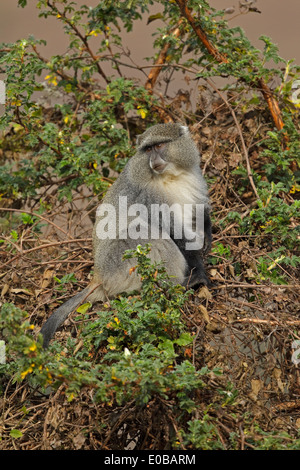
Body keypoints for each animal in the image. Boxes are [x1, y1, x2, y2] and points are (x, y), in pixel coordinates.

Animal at [40, 123, 211, 346]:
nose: (153, 160)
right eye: (148, 149)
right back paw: (175, 286)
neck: (170, 177)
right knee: (142, 232)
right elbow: (177, 235)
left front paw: (207, 235)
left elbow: (200, 211)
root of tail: (98, 276)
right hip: (118, 266)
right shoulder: (149, 197)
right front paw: (199, 273)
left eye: (160, 145)